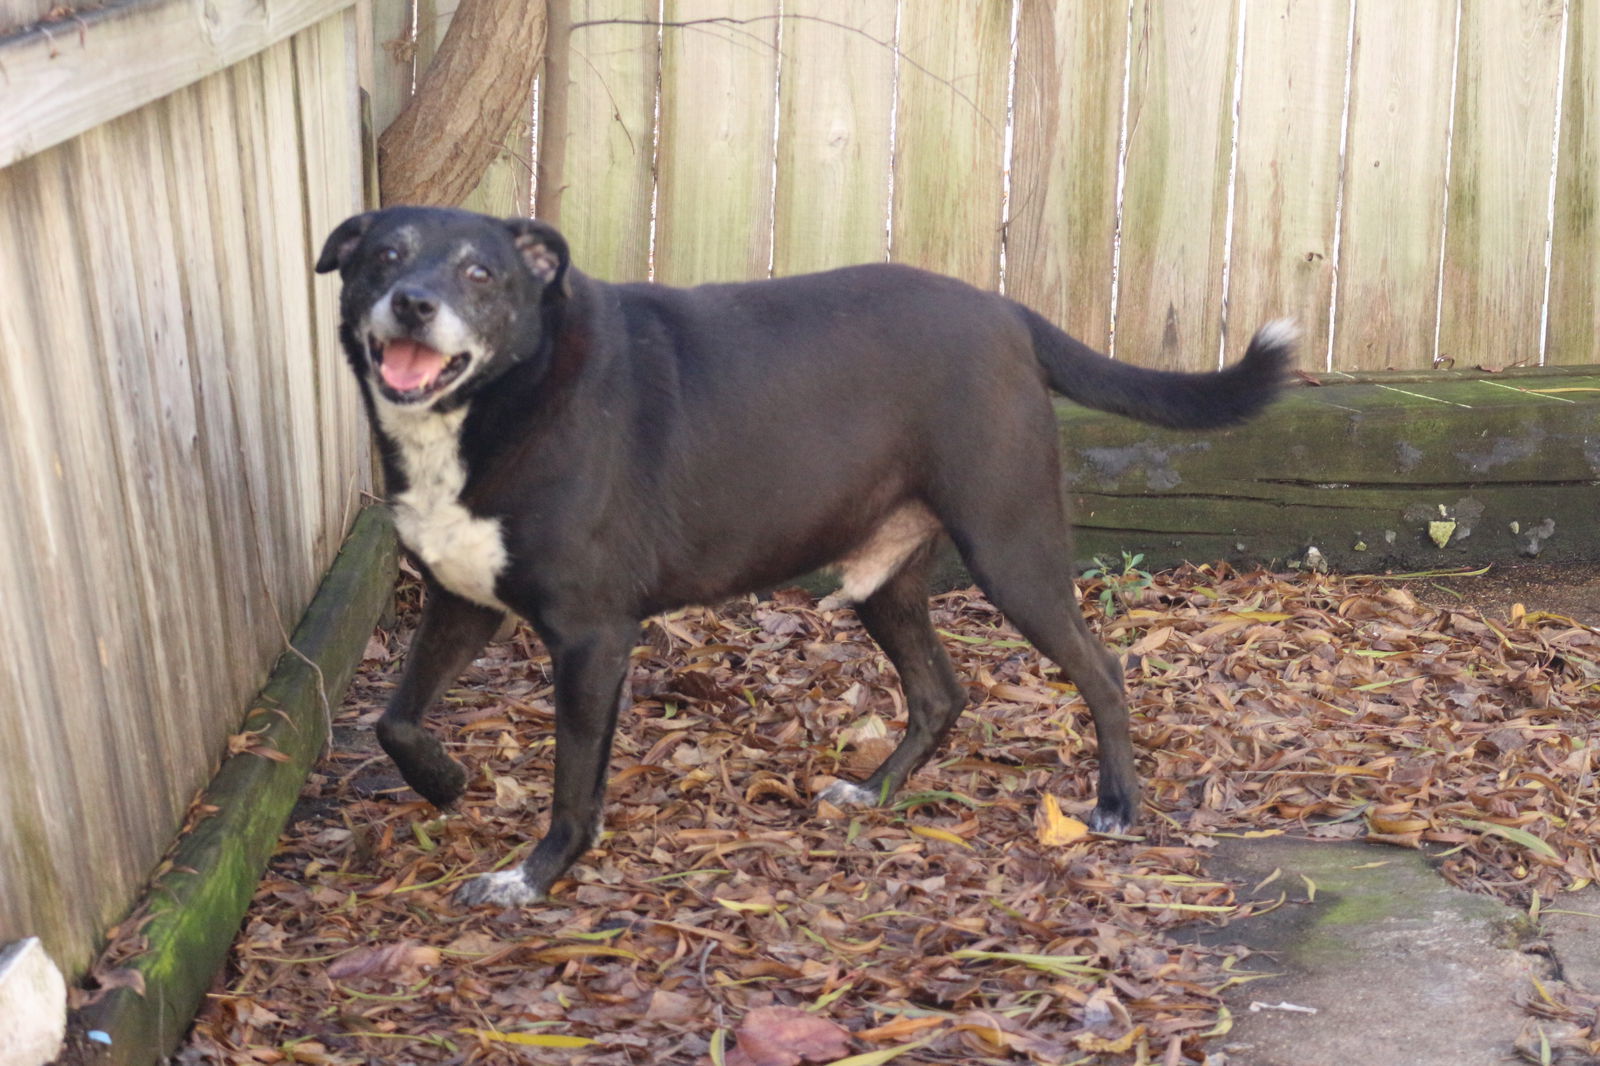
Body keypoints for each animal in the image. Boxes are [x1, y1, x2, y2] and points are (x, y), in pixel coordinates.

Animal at [318, 204, 1292, 902]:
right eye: (382, 257)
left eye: (480, 271)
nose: (413, 305)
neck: (512, 393)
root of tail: (1006, 310)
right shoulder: (462, 599)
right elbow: (395, 718)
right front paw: (445, 782)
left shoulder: (593, 635)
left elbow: (573, 784)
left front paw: (532, 875)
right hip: (887, 582)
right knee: (941, 694)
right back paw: (875, 792)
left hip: (1011, 549)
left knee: (1102, 668)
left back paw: (1118, 803)